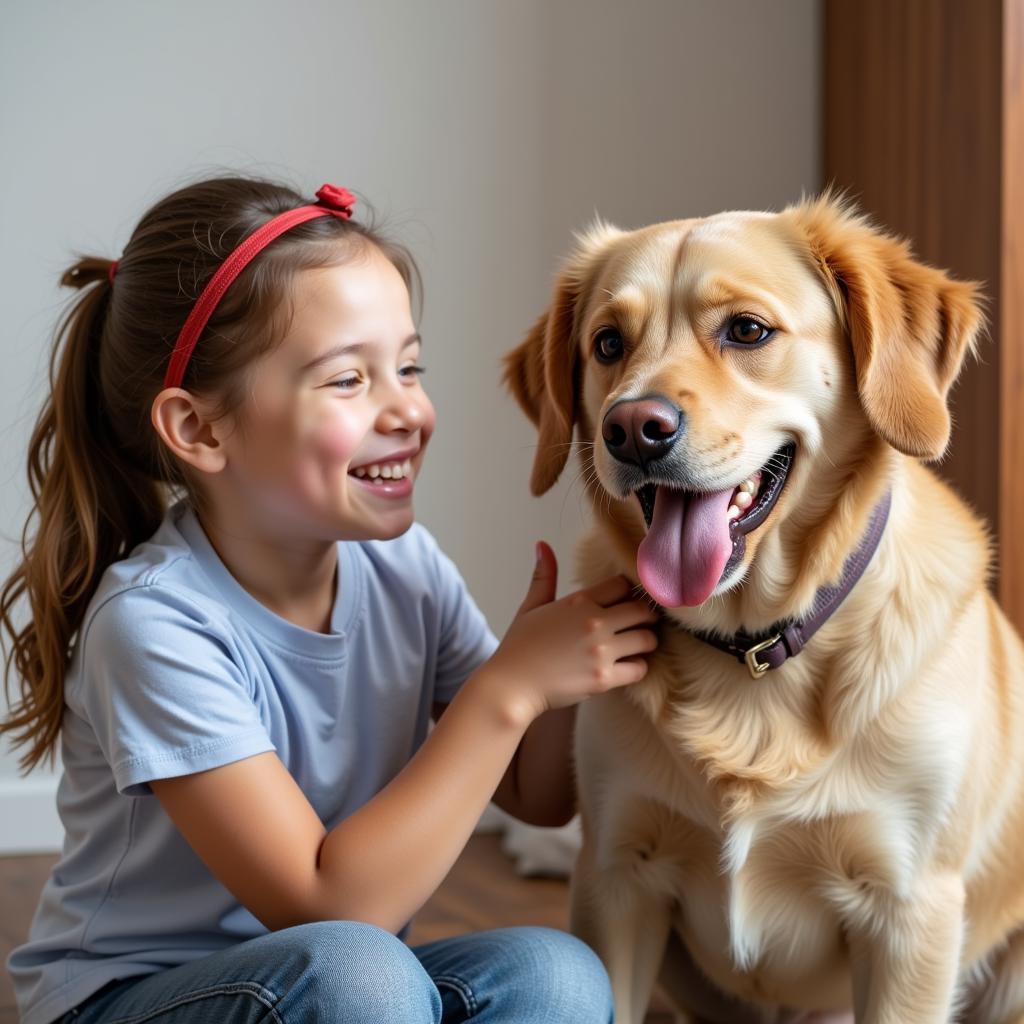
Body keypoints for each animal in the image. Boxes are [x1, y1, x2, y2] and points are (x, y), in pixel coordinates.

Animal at [501, 193, 1024, 1024]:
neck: (752, 647)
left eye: (746, 331)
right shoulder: (617, 876)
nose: (632, 430)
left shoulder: (910, 914)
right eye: (608, 343)